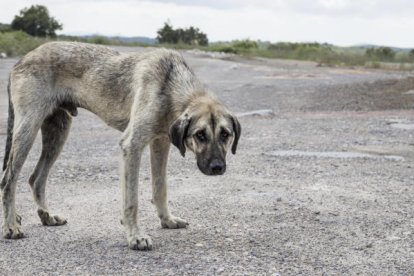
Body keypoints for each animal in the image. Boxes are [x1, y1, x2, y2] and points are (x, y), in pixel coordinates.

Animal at [0, 41, 241, 250]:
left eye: (225, 135)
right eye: (200, 135)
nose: (217, 168)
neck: (171, 84)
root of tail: (21, 60)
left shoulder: (160, 143)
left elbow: (160, 188)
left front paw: (167, 220)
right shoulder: (131, 146)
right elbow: (131, 200)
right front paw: (135, 236)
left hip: (57, 133)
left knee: (36, 178)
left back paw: (46, 216)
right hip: (27, 129)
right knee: (8, 179)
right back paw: (11, 226)